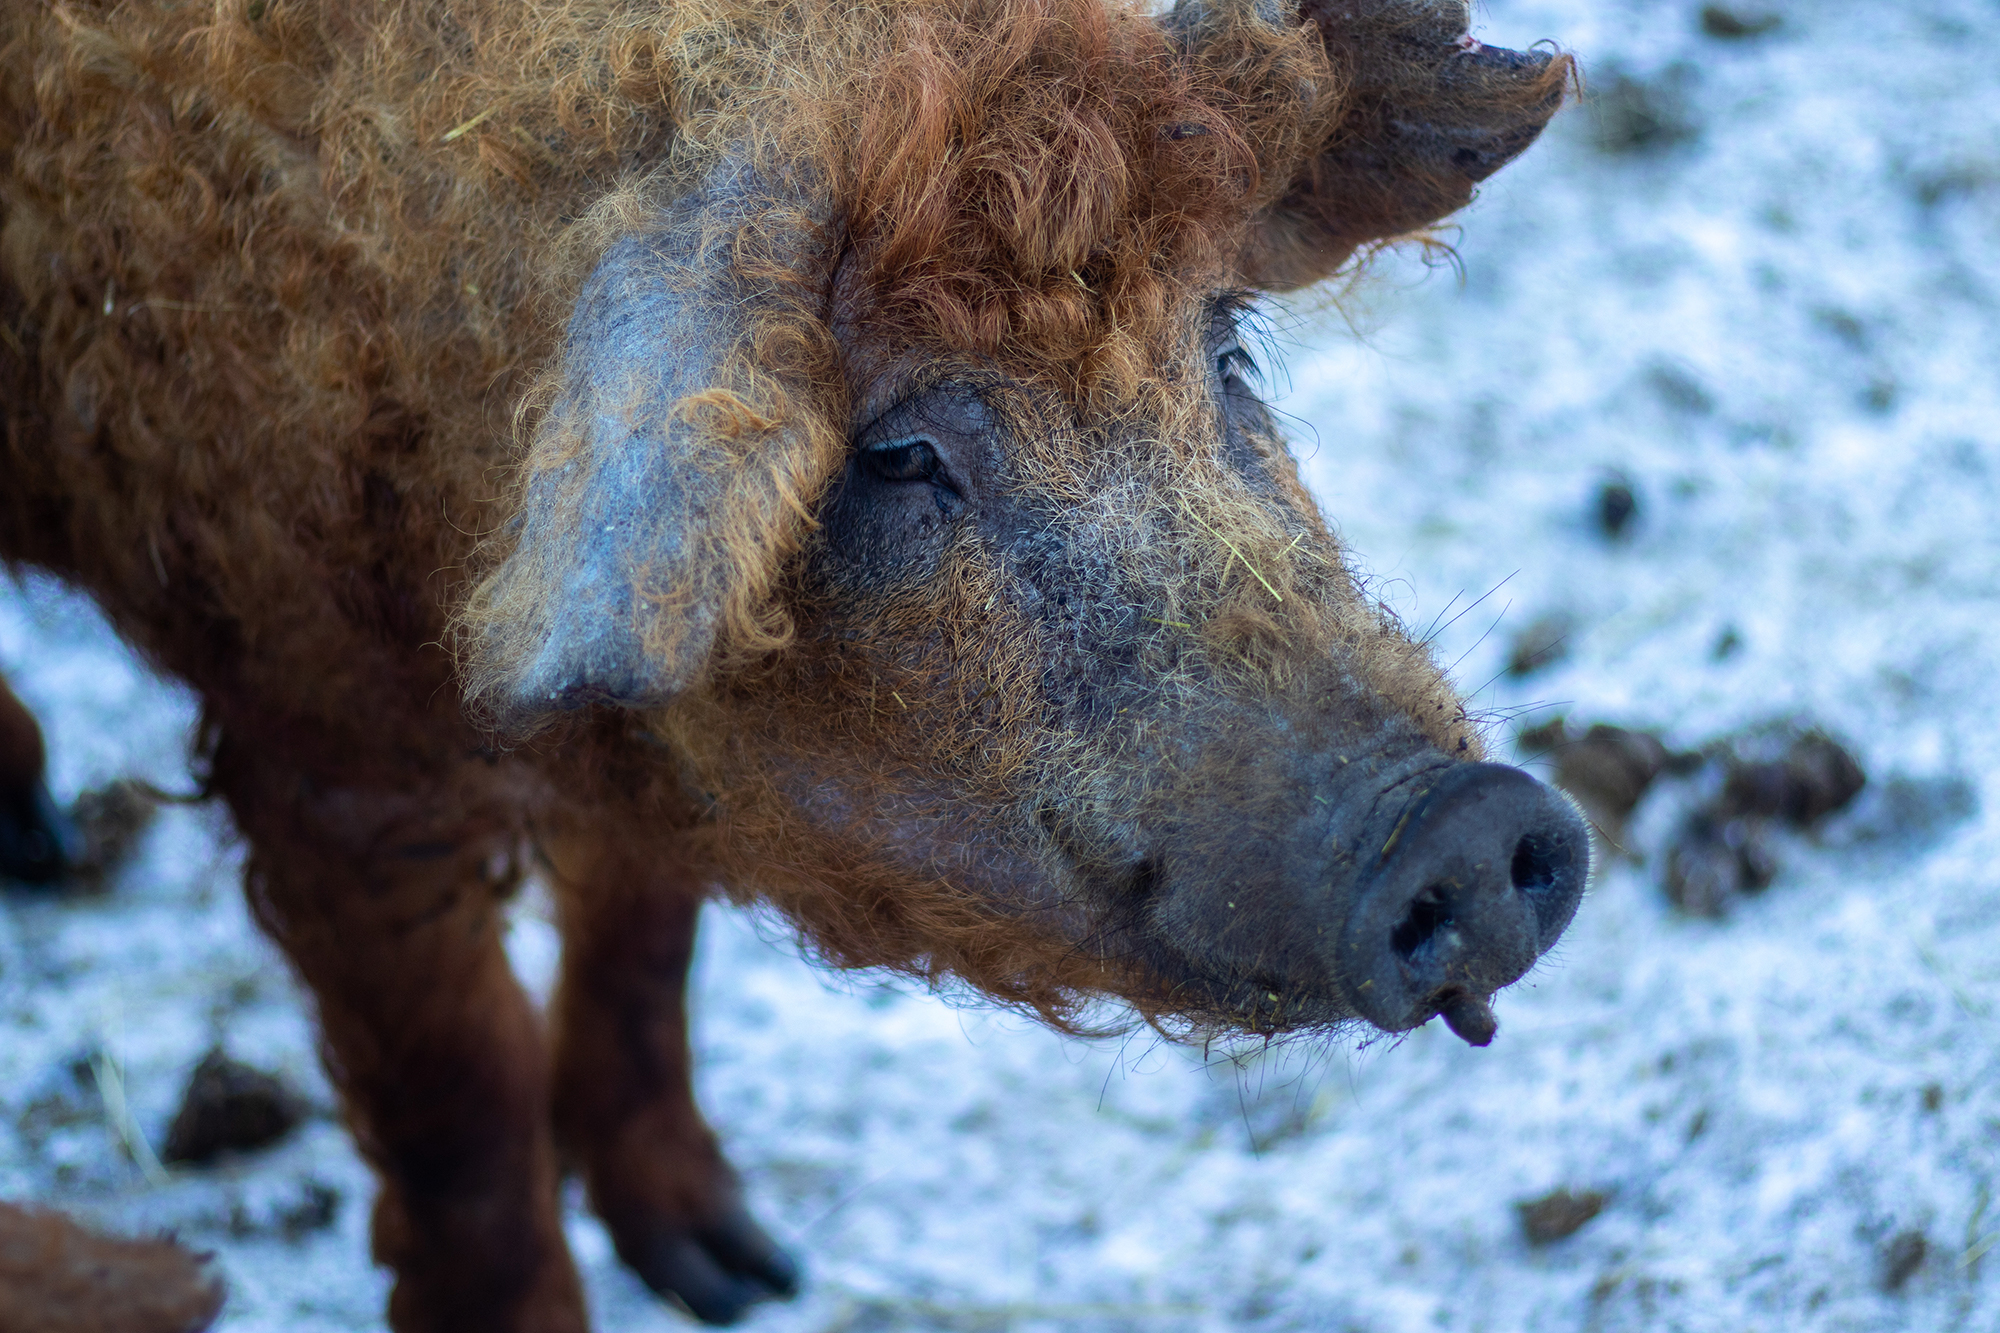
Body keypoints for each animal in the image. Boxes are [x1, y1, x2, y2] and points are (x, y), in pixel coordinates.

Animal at [0, 0, 1584, 1320]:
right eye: (894, 451)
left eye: (1225, 343)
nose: (1469, 817)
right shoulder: (305, 731)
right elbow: (460, 1115)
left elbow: (646, 949)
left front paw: (738, 1272)